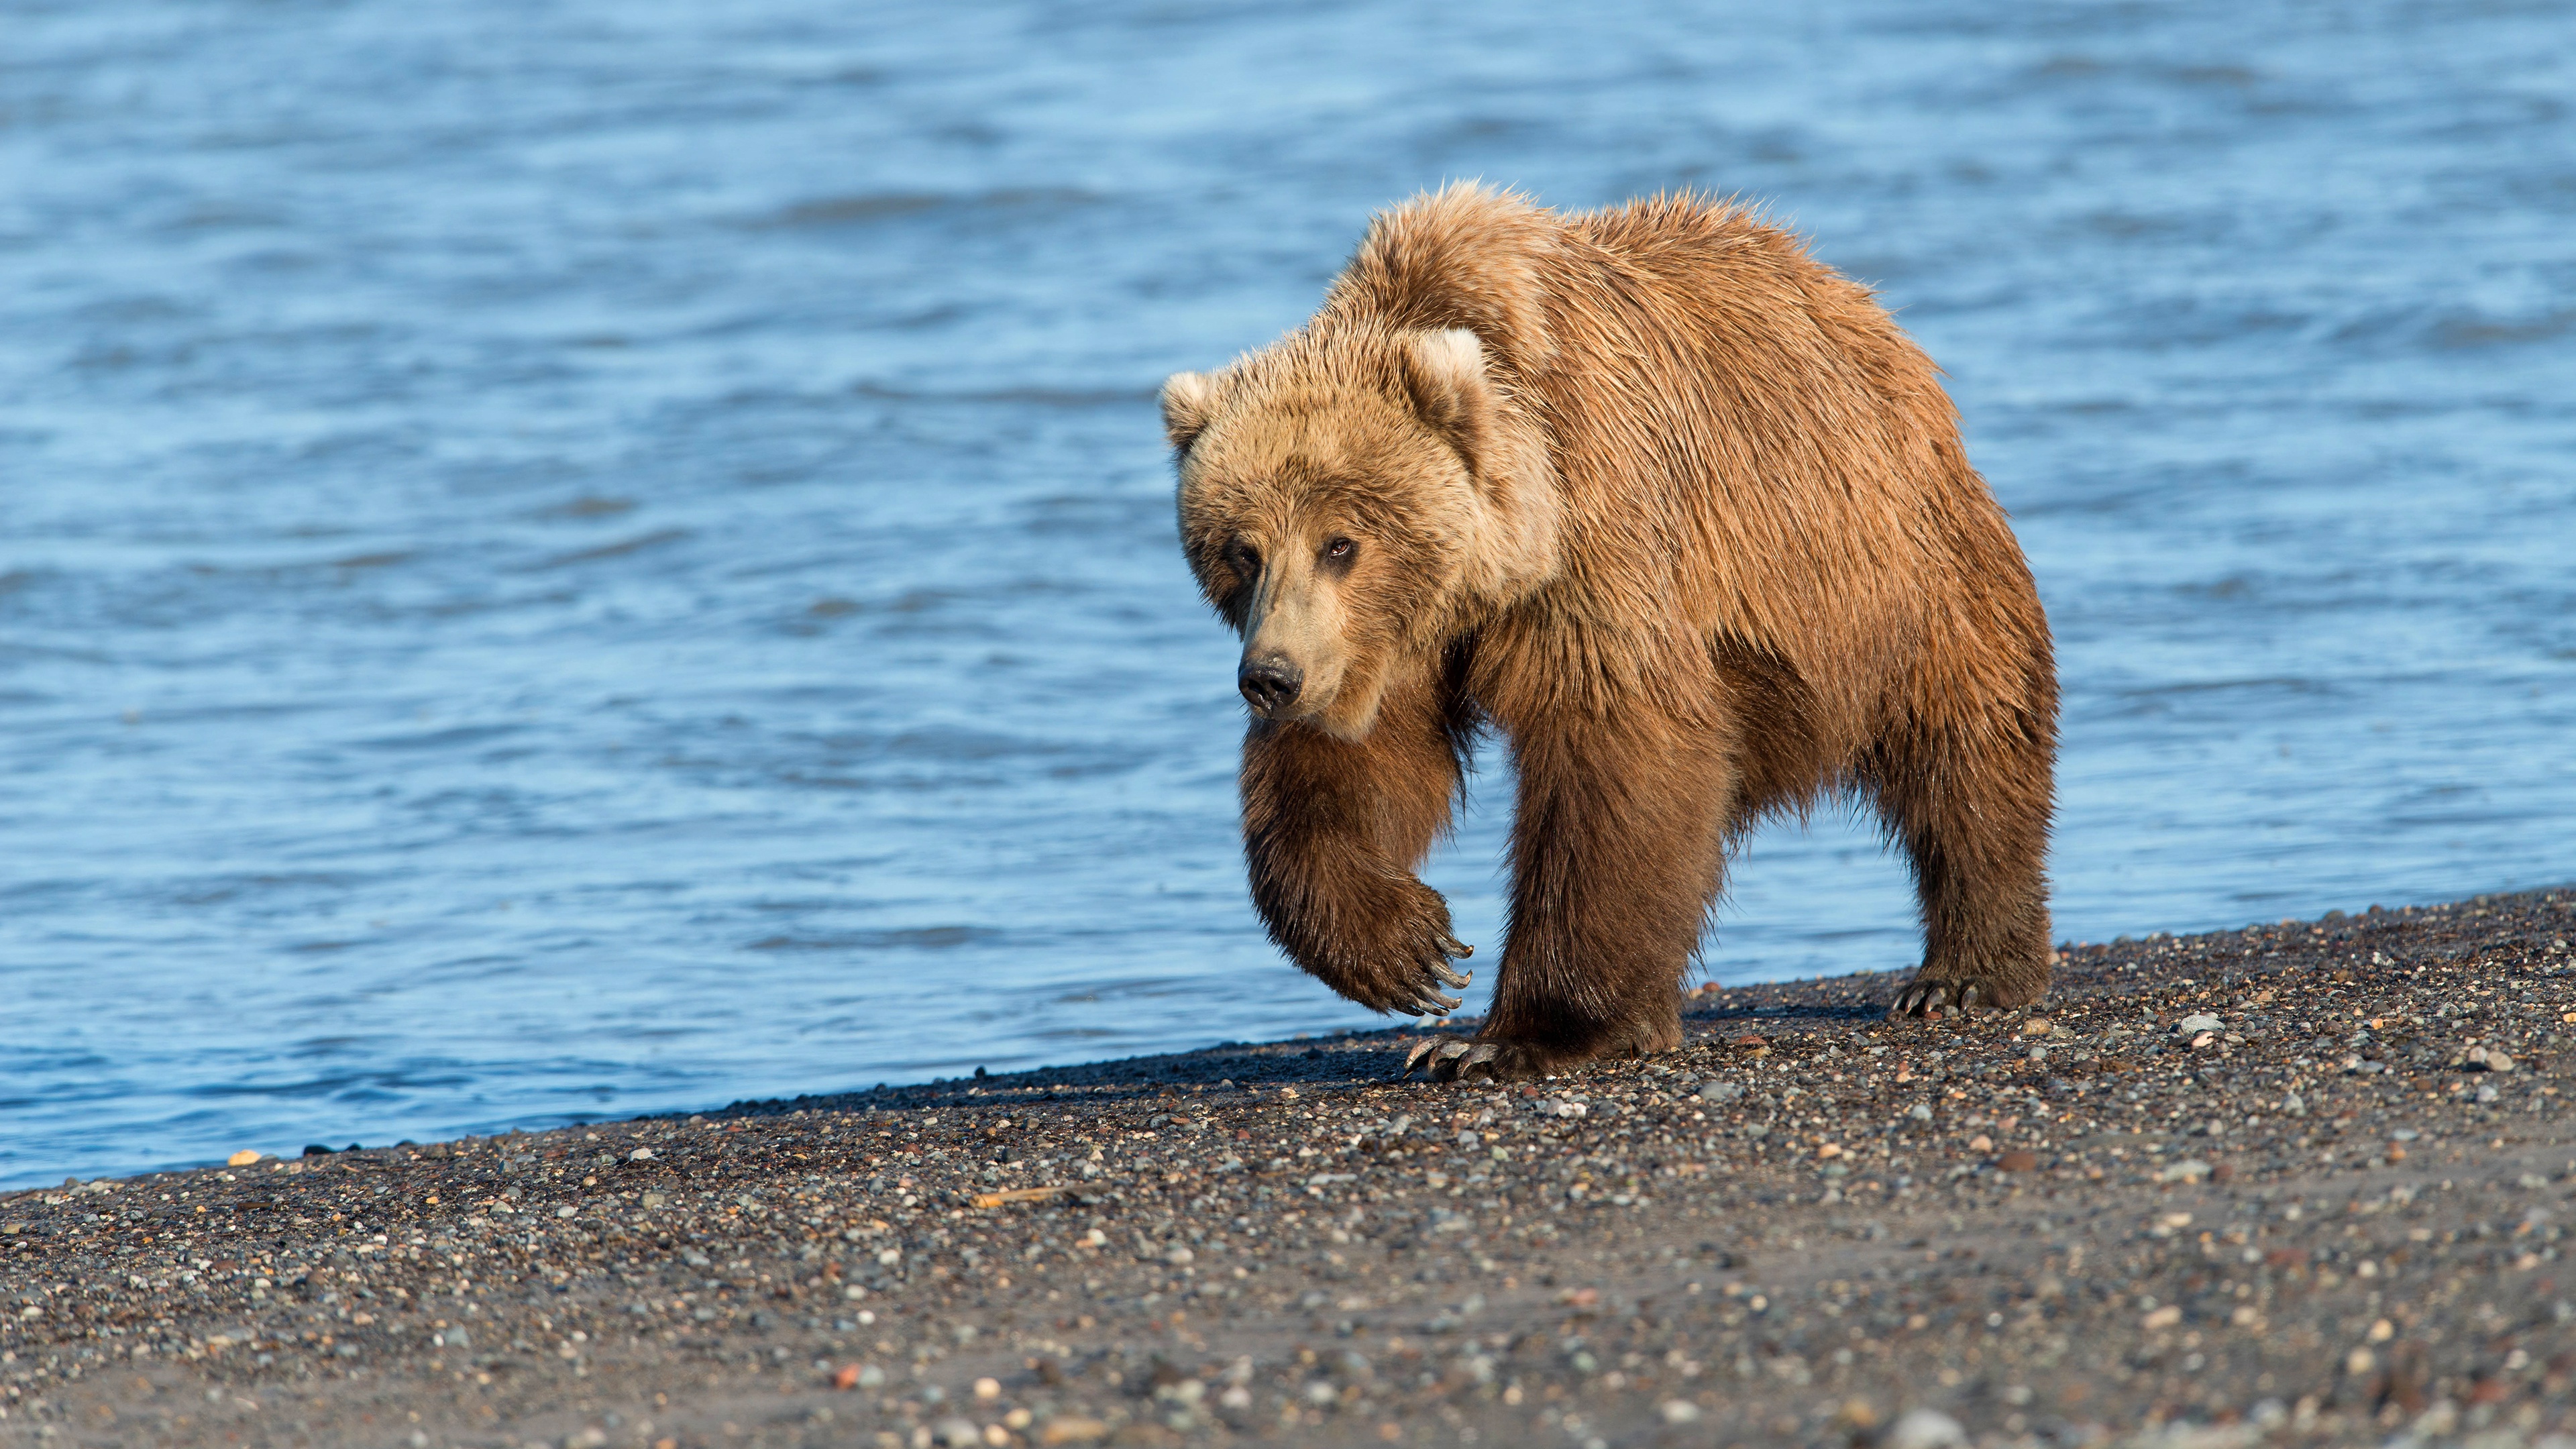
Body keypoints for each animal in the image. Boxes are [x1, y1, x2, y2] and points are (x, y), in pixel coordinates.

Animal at [1164, 182, 2050, 1072]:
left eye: (1340, 543)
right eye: (1241, 550)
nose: (1269, 678)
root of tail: (1870, 317)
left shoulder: (1604, 532)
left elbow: (1618, 753)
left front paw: (1514, 1036)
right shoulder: (1385, 640)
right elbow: (1355, 762)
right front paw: (1410, 951)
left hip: (1892, 568)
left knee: (1967, 742)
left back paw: (1964, 972)